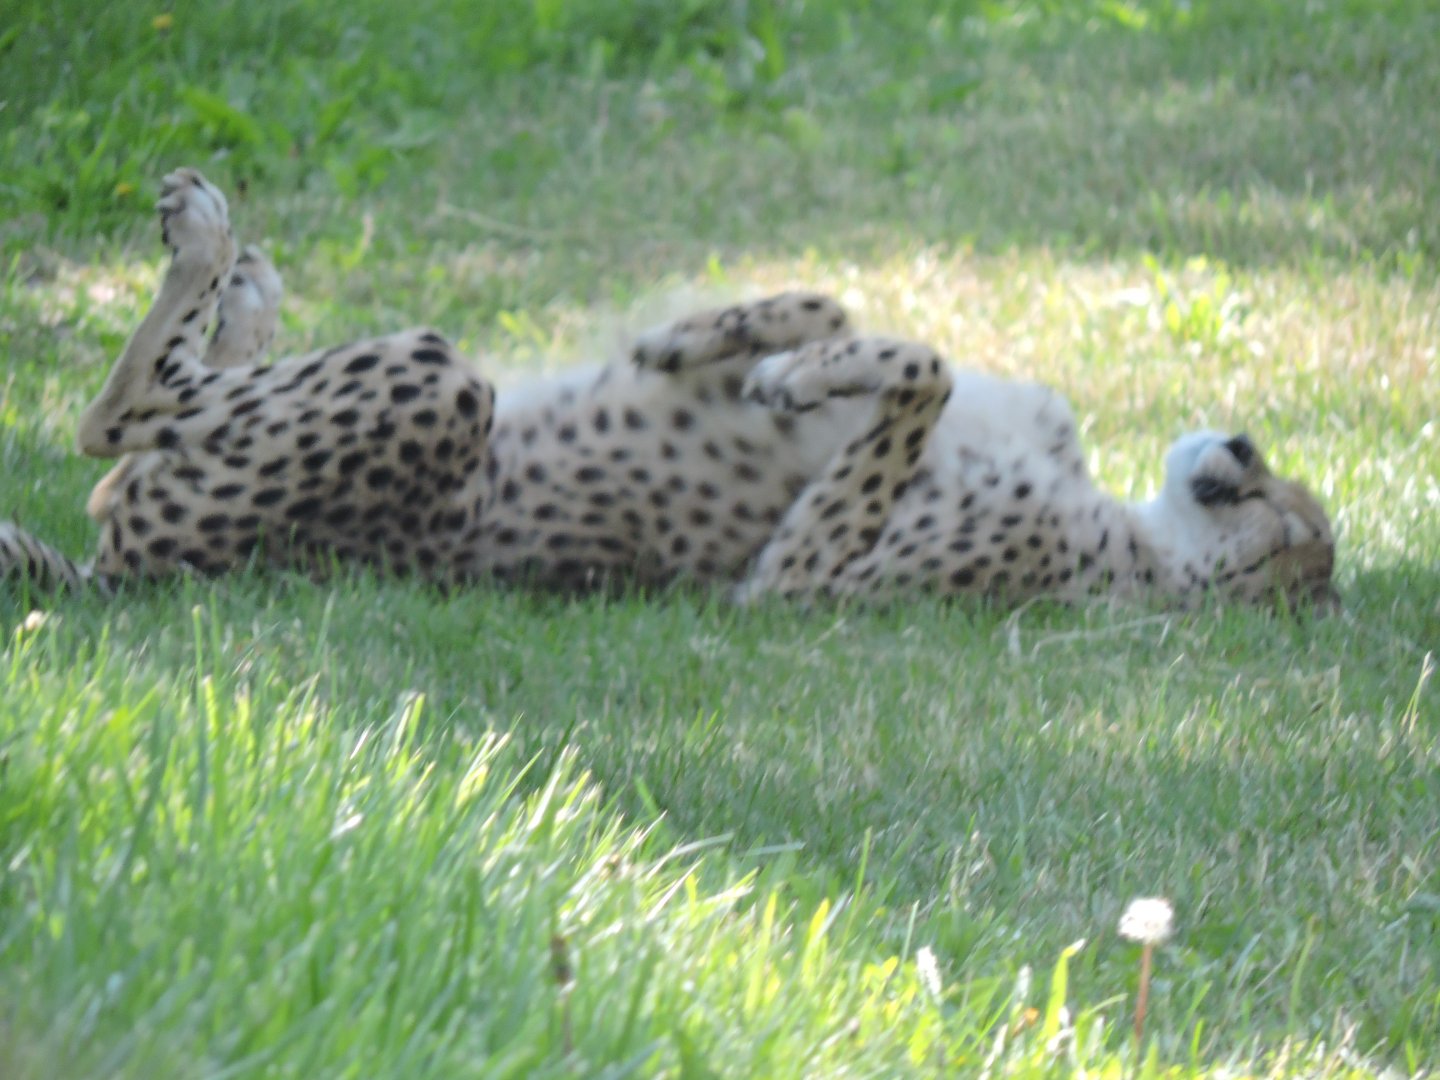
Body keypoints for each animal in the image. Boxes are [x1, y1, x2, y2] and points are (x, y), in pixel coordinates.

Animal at [1, 168, 1336, 609]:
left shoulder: (792, 588)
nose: (1241, 442)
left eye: (1296, 536)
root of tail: (122, 571)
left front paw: (783, 370)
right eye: (1293, 500)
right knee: (148, 415)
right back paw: (248, 287)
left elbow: (922, 366)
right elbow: (845, 315)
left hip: (438, 381)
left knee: (114, 418)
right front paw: (715, 341)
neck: (1140, 540)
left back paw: (207, 243)